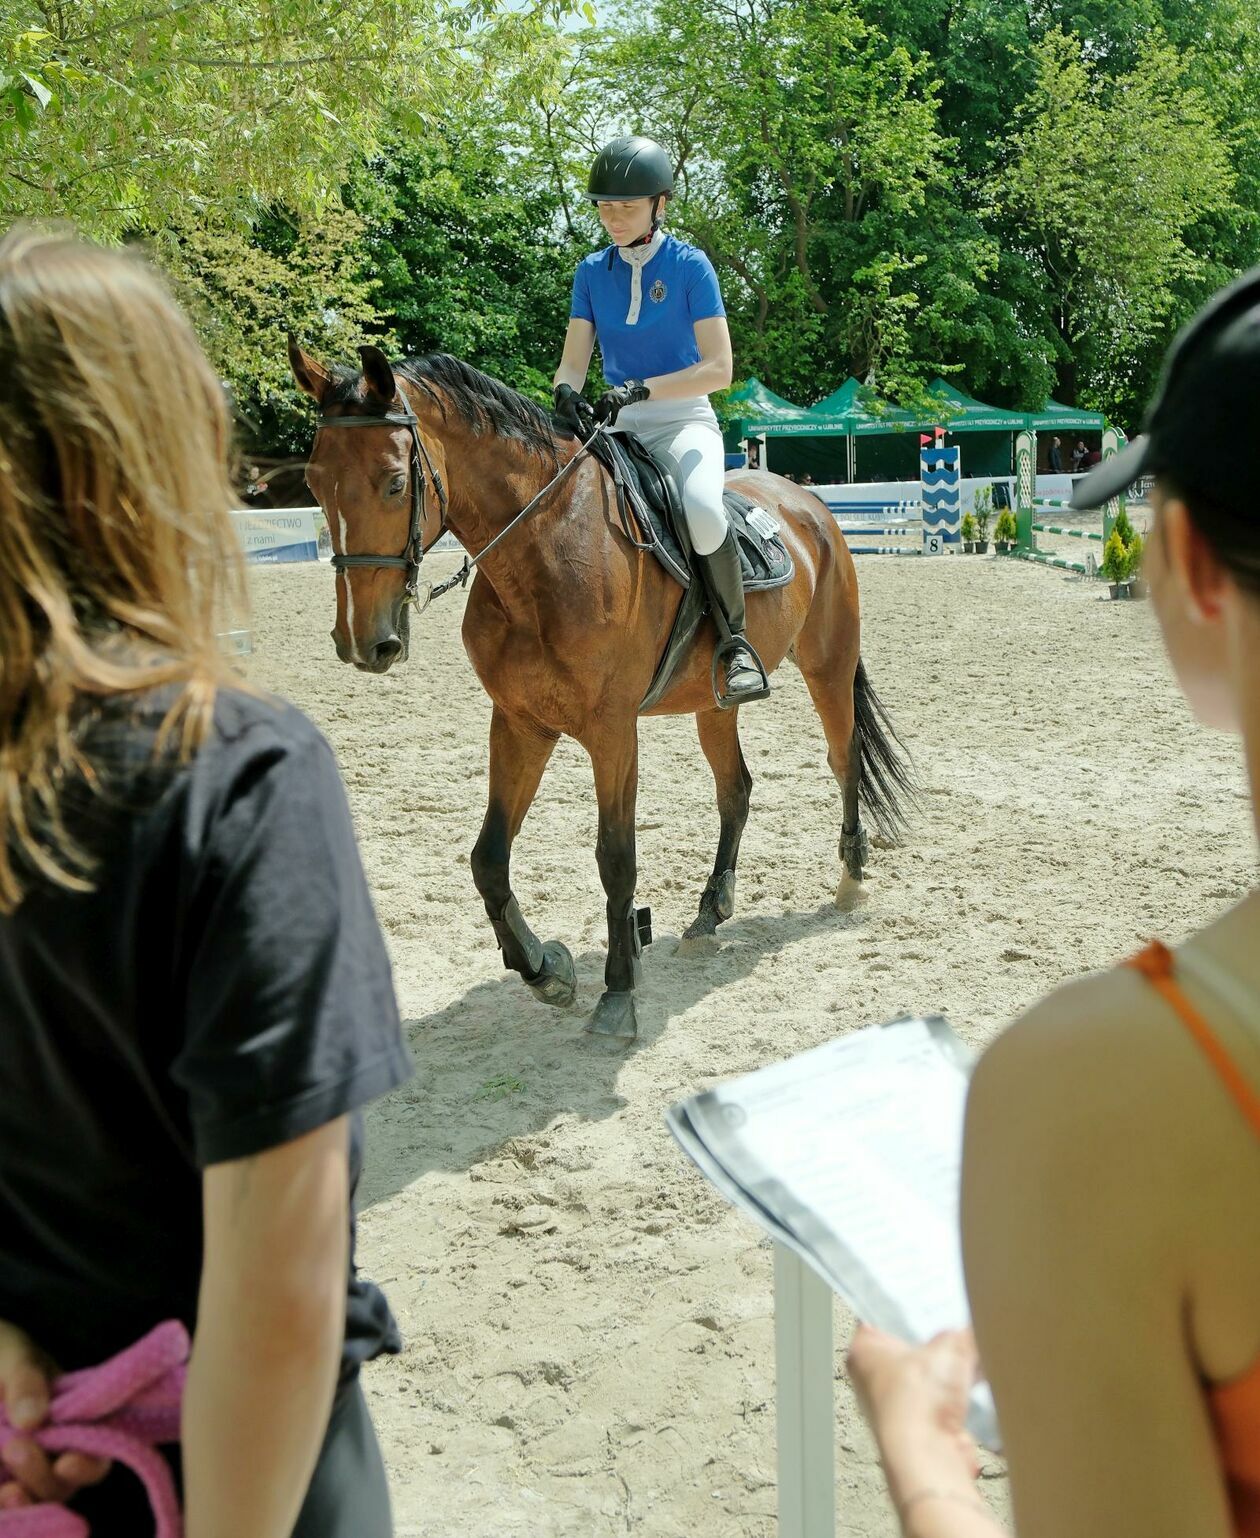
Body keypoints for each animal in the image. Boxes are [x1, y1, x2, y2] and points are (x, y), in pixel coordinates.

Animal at [289, 342, 910, 1039]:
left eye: (395, 483)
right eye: (314, 484)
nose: (361, 641)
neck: (542, 553)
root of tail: (808, 503)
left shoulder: (612, 731)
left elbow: (616, 857)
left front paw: (617, 995)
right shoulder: (520, 723)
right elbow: (488, 858)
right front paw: (546, 970)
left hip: (828, 664)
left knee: (843, 757)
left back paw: (851, 878)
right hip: (714, 703)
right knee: (736, 789)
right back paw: (709, 912)